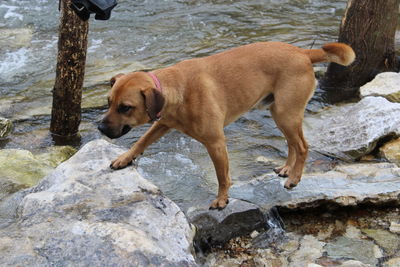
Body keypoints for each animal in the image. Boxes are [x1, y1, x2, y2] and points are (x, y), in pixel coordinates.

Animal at [98, 42, 354, 210]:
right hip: (279, 113)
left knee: (301, 146)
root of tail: (303, 52)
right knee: (292, 144)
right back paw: (287, 169)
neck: (177, 90)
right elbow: (141, 142)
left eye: (125, 107)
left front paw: (222, 199)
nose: (100, 129)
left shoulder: (216, 143)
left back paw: (294, 178)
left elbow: (222, 176)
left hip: (286, 114)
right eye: (108, 102)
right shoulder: (162, 124)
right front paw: (124, 158)